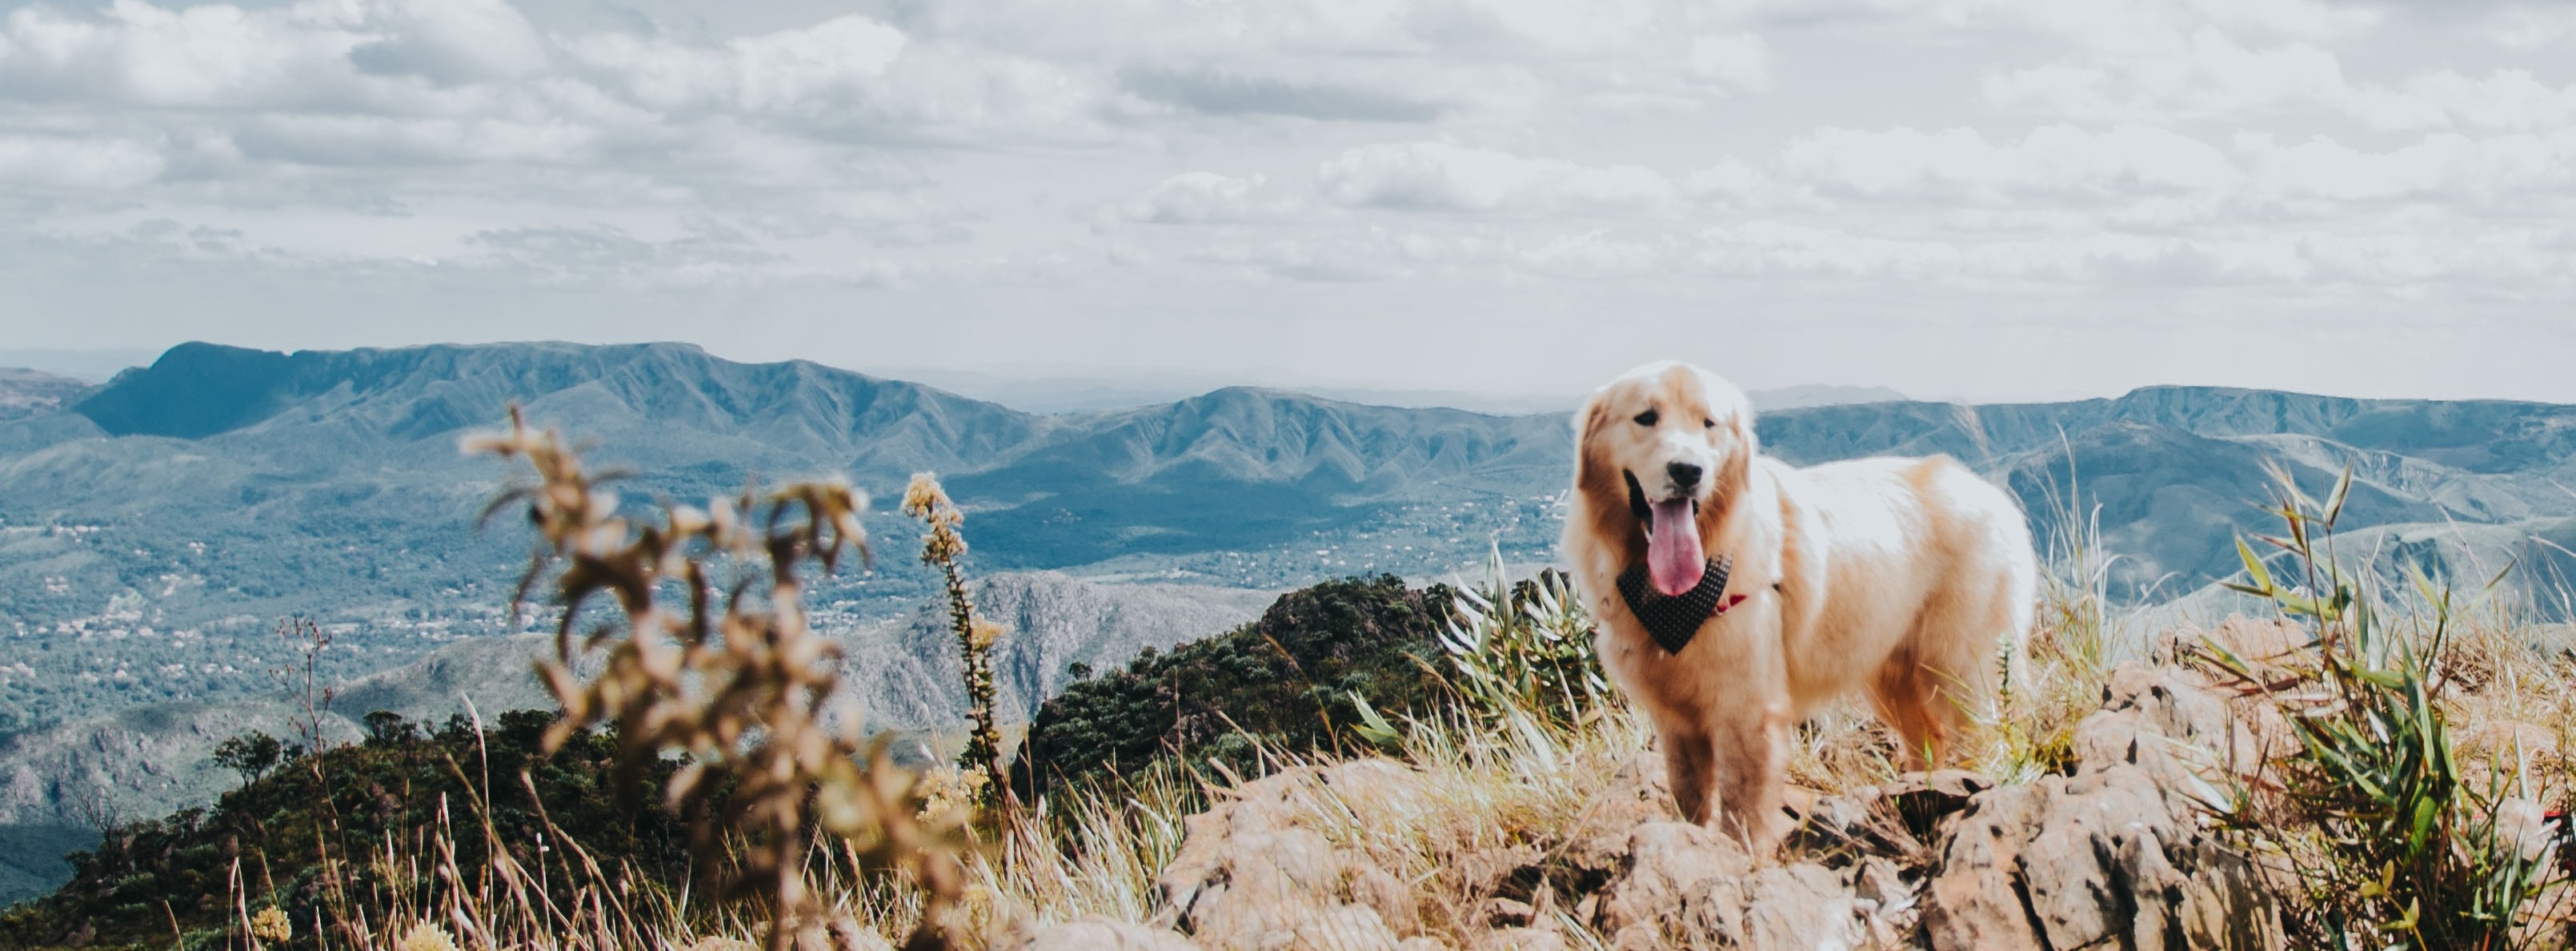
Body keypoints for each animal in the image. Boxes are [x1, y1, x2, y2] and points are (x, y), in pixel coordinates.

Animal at [1566, 360, 2029, 845]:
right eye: (1645, 417)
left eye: (1708, 423)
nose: (1688, 471)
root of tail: (1994, 495)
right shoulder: (1676, 722)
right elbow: (1691, 800)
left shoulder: (1747, 711)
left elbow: (1742, 809)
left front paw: (1742, 854)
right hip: (1895, 680)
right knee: (1929, 741)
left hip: (1958, 670)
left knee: (1978, 735)